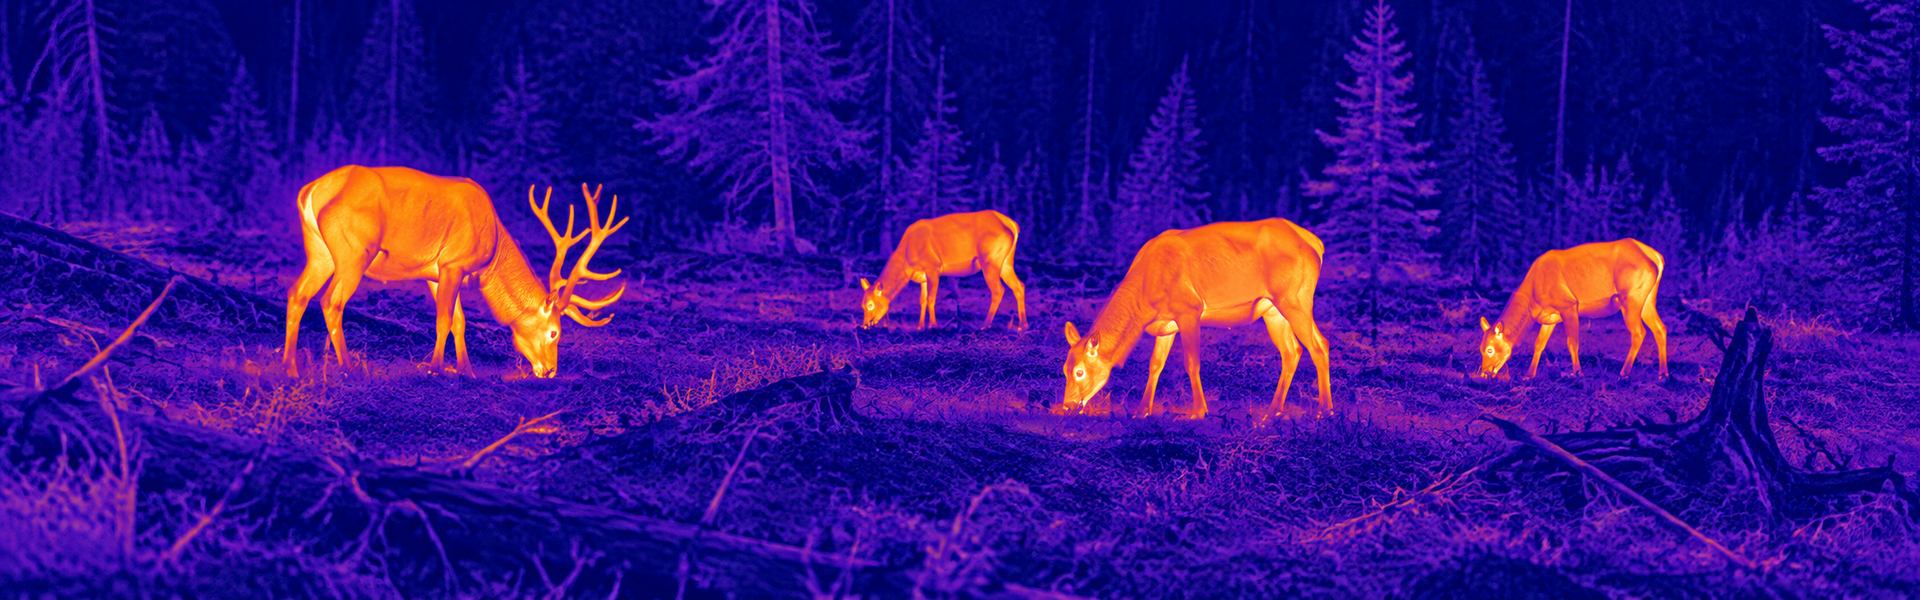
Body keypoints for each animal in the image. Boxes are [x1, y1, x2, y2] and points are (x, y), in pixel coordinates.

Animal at [282, 165, 626, 379]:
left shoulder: (437, 272)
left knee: (297, 294)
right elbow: (444, 319)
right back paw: (348, 367)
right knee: (331, 301)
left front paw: (467, 370)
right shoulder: (454, 263)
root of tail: (311, 189)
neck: (492, 254)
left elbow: (460, 322)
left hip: (320, 252)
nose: (551, 370)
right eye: (555, 332)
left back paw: (290, 367)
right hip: (354, 252)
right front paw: (435, 367)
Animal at [860, 210, 1028, 331]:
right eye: (862, 305)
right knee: (1019, 285)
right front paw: (920, 326)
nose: (865, 325)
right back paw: (1022, 325)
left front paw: (933, 325)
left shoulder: (933, 267)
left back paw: (985, 325)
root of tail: (1012, 224)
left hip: (990, 259)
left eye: (870, 304)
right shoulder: (923, 277)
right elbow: (922, 300)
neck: (907, 261)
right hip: (1006, 262)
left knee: (998, 290)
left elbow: (931, 298)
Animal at [1059, 219, 1332, 421]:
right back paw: (1273, 411)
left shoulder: (1189, 309)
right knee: (1294, 350)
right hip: (1274, 309)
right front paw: (1142, 411)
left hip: (1295, 298)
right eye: (1064, 369)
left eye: (1080, 372)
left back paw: (1324, 410)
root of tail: (1316, 244)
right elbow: (1155, 365)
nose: (1068, 405)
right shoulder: (1166, 326)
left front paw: (1199, 411)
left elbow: (1192, 363)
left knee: (1317, 346)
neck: (1145, 298)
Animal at [1475, 238, 1668, 380]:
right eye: (1480, 348)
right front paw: (1529, 375)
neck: (1533, 300)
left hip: (1631, 297)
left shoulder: (1568, 304)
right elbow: (1539, 344)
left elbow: (1572, 342)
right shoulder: (1550, 317)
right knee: (1660, 328)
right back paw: (1663, 374)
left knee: (1639, 332)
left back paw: (1624, 372)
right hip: (1647, 299)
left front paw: (1577, 372)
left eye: (1490, 349)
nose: (1484, 373)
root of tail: (1656, 257)